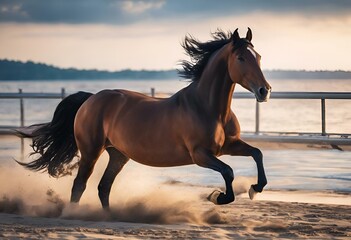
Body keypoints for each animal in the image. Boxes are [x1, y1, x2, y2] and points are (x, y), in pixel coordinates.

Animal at [17, 28, 272, 209]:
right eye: (241, 58)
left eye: (259, 56)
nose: (264, 91)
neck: (208, 108)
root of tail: (91, 99)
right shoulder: (200, 154)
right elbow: (228, 171)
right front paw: (217, 197)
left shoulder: (228, 145)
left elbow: (257, 153)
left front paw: (255, 188)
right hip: (91, 151)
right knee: (80, 186)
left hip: (118, 155)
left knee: (103, 187)